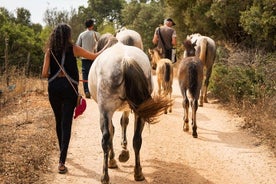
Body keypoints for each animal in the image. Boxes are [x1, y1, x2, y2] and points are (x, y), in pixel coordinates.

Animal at [88, 33, 170, 184]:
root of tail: (125, 60)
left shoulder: (108, 111)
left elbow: (113, 130)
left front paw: (115, 158)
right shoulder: (127, 108)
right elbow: (124, 123)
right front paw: (124, 151)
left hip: (105, 110)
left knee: (105, 138)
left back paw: (105, 175)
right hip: (140, 111)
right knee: (137, 140)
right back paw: (138, 172)